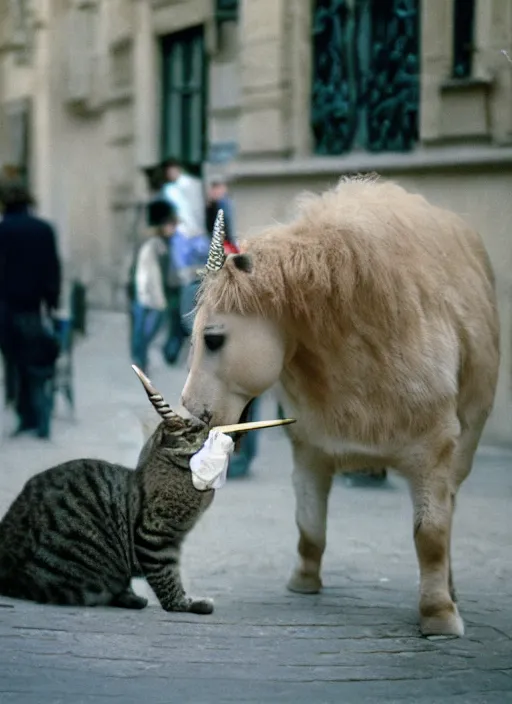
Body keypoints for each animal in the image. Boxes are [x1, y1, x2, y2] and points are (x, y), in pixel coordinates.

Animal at [181, 176, 500, 640]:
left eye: (214, 339)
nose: (190, 412)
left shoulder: (435, 453)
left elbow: (431, 535)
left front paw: (439, 615)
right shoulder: (310, 449)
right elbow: (309, 523)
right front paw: (304, 582)